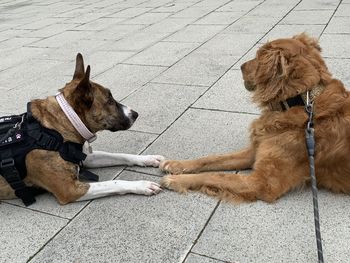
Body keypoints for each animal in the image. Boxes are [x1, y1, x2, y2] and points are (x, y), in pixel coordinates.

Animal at [0, 54, 164, 206]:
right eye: (109, 101)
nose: (135, 114)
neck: (58, 128)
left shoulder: (86, 157)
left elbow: (120, 155)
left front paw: (148, 158)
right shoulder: (70, 189)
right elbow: (114, 182)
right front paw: (142, 184)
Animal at [159, 32, 350, 202]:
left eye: (258, 57)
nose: (240, 66)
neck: (302, 101)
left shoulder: (262, 183)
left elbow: (216, 175)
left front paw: (176, 180)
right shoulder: (256, 151)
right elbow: (212, 159)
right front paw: (177, 165)